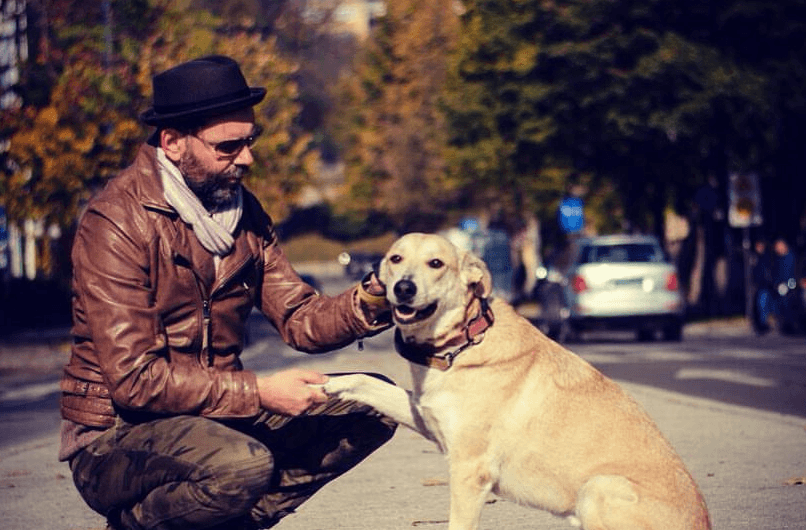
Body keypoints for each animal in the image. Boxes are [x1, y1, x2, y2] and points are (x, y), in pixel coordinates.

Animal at [324, 232, 712, 528]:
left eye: (436, 264)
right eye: (395, 259)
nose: (403, 288)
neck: (463, 343)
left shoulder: (469, 472)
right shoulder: (426, 418)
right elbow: (370, 383)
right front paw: (329, 384)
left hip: (599, 488)